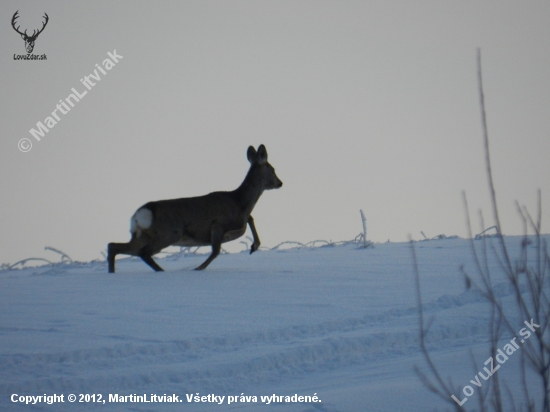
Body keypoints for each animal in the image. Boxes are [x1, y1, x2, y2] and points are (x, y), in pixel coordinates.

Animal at [107, 145, 282, 274]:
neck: (240, 203)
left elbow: (251, 219)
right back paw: (162, 271)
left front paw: (254, 246)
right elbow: (216, 251)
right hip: (169, 233)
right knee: (143, 252)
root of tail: (140, 214)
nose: (280, 183)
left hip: (142, 235)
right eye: (272, 169)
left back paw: (112, 272)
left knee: (114, 246)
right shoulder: (218, 224)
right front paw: (198, 268)